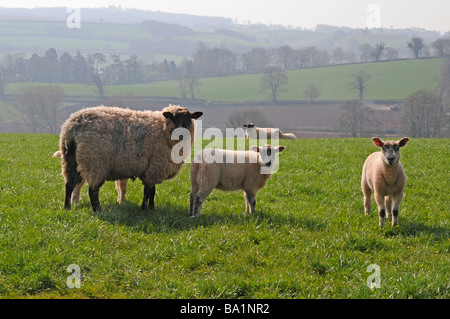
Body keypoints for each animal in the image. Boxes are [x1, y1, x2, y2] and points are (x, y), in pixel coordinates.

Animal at [59, 104, 203, 212]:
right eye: (174, 118)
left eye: (190, 118)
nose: (183, 134)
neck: (164, 129)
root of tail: (71, 128)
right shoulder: (154, 168)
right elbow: (148, 191)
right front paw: (145, 208)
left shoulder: (151, 169)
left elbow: (152, 191)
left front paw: (152, 208)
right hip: (95, 162)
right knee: (92, 190)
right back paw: (97, 210)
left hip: (70, 160)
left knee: (69, 184)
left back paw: (67, 207)